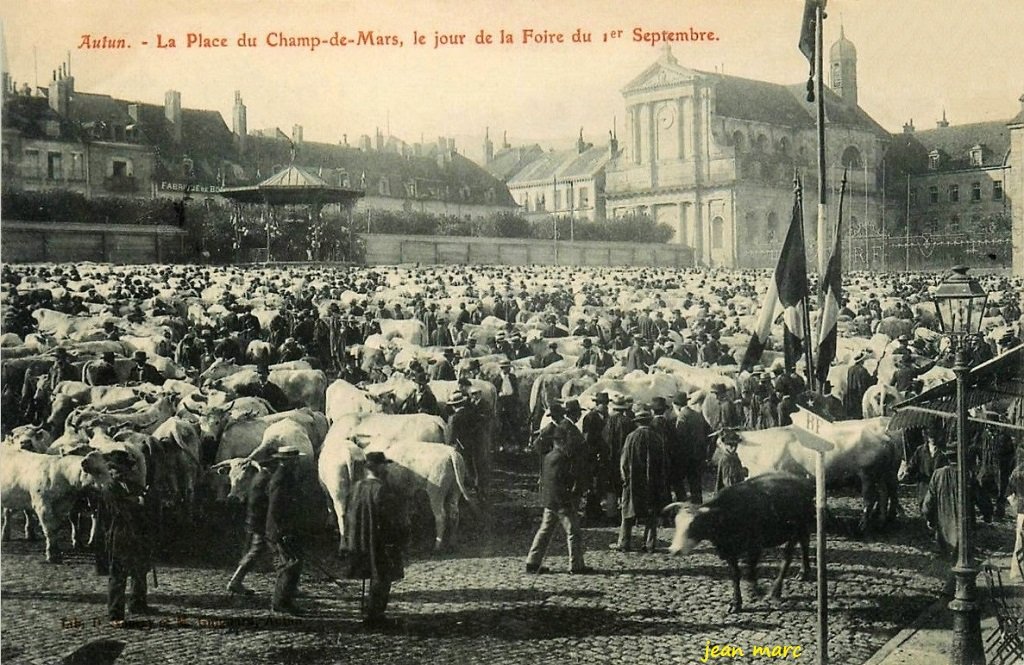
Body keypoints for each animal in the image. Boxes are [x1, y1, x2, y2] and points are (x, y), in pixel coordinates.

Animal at [663, 471, 815, 610]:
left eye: (694, 526)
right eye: (677, 524)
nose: (674, 550)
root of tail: (804, 482)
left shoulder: (755, 547)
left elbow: (750, 572)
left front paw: (756, 591)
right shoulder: (729, 551)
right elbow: (735, 574)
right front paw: (736, 603)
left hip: (798, 529)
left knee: (787, 558)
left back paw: (776, 591)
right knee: (805, 544)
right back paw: (804, 572)